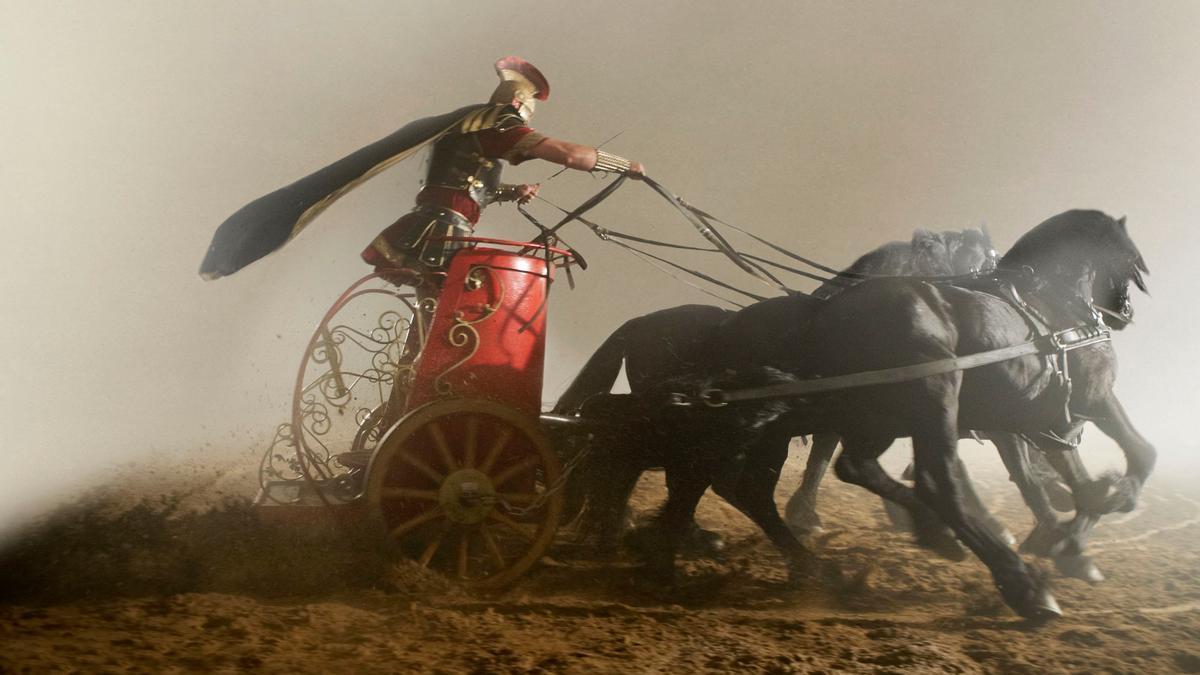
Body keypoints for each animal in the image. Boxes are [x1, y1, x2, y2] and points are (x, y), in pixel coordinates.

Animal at [638, 208, 1152, 614]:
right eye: (1129, 259)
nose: (1124, 313)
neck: (1055, 306)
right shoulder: (1087, 399)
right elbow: (1135, 455)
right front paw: (1094, 514)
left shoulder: (1030, 419)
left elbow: (1060, 475)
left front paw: (1069, 537)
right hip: (925, 395)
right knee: (929, 479)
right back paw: (1019, 585)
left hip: (852, 418)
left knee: (792, 474)